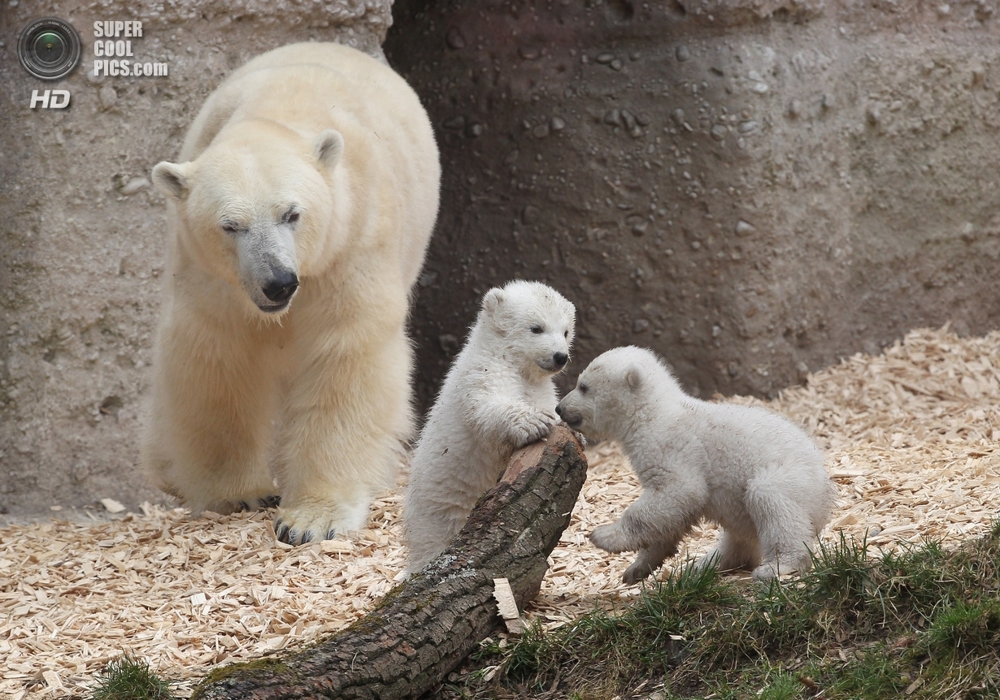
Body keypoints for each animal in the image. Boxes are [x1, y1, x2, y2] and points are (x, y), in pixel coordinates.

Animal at [143, 42, 440, 548]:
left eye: (292, 214)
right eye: (230, 225)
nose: (278, 281)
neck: (277, 110)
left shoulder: (350, 243)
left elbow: (344, 358)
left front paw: (311, 518)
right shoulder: (211, 276)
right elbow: (217, 357)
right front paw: (238, 493)